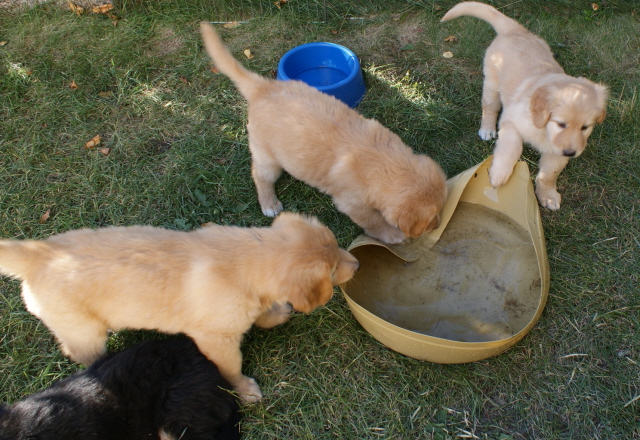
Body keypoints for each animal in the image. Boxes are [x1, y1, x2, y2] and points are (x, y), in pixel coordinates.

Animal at [0, 212, 360, 402]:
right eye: (332, 270)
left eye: (337, 246)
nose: (356, 264)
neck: (247, 258)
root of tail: (39, 253)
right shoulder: (216, 339)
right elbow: (230, 367)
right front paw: (245, 390)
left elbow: (260, 312)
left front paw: (274, 314)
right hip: (82, 330)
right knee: (79, 351)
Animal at [199, 23, 444, 244]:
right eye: (431, 219)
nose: (438, 226)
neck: (384, 161)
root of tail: (263, 87)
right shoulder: (352, 203)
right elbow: (374, 222)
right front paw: (392, 235)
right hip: (267, 156)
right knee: (260, 175)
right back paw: (269, 204)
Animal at [442, 1, 608, 211]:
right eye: (561, 124)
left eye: (585, 127)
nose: (571, 153)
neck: (544, 130)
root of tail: (516, 30)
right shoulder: (511, 121)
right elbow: (512, 147)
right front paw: (498, 174)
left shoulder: (557, 151)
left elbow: (549, 173)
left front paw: (547, 195)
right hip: (492, 83)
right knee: (489, 107)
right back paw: (487, 129)